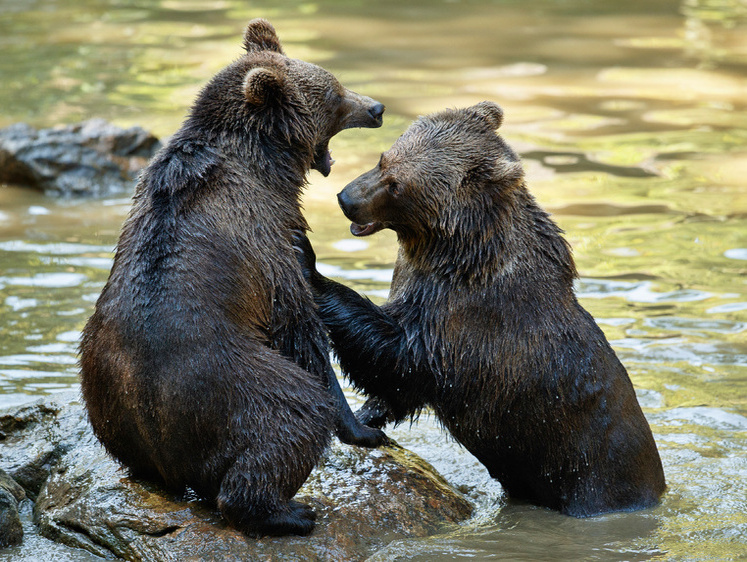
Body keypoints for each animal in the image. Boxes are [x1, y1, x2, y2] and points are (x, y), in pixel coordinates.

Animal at [80, 16, 386, 532]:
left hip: (101, 387)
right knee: (291, 414)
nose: (377, 107)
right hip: (233, 383)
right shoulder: (264, 235)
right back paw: (289, 511)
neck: (266, 164)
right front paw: (364, 427)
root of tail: (164, 449)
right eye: (334, 93)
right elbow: (300, 326)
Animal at [296, 101, 668, 516]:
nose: (346, 199)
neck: (452, 251)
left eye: (397, 184)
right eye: (382, 158)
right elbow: (397, 385)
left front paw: (309, 262)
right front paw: (368, 416)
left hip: (592, 472)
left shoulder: (464, 316)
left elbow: (401, 356)